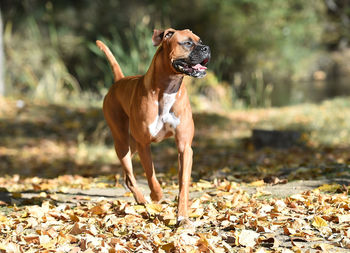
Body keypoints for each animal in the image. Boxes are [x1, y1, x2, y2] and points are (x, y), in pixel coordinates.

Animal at [95, 27, 211, 225]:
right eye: (188, 43)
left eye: (200, 41)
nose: (207, 48)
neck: (168, 88)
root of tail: (119, 81)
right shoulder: (144, 144)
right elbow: (151, 175)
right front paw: (157, 196)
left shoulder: (184, 147)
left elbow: (183, 184)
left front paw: (182, 216)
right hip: (122, 142)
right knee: (130, 174)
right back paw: (142, 200)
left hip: (131, 144)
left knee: (127, 173)